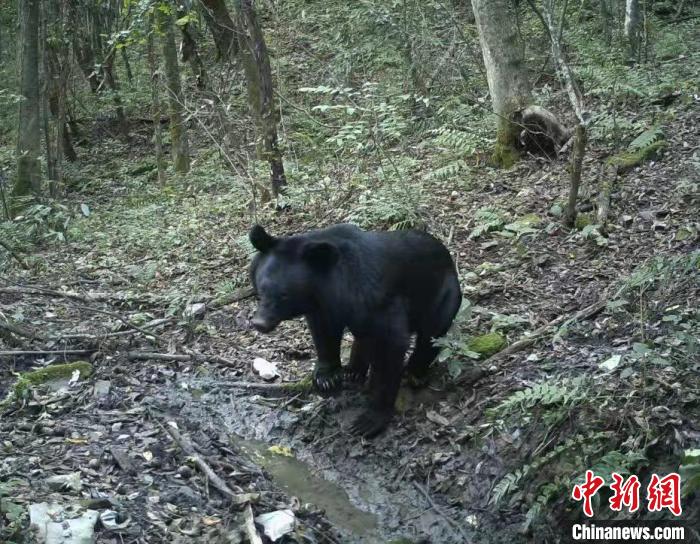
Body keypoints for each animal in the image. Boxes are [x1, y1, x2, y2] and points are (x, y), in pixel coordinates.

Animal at [249, 223, 462, 436]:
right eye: (261, 289)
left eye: (284, 295)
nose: (259, 323)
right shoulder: (324, 308)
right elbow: (324, 333)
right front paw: (326, 379)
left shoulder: (379, 301)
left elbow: (391, 344)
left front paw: (370, 419)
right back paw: (353, 371)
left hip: (443, 298)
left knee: (431, 336)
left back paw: (414, 374)